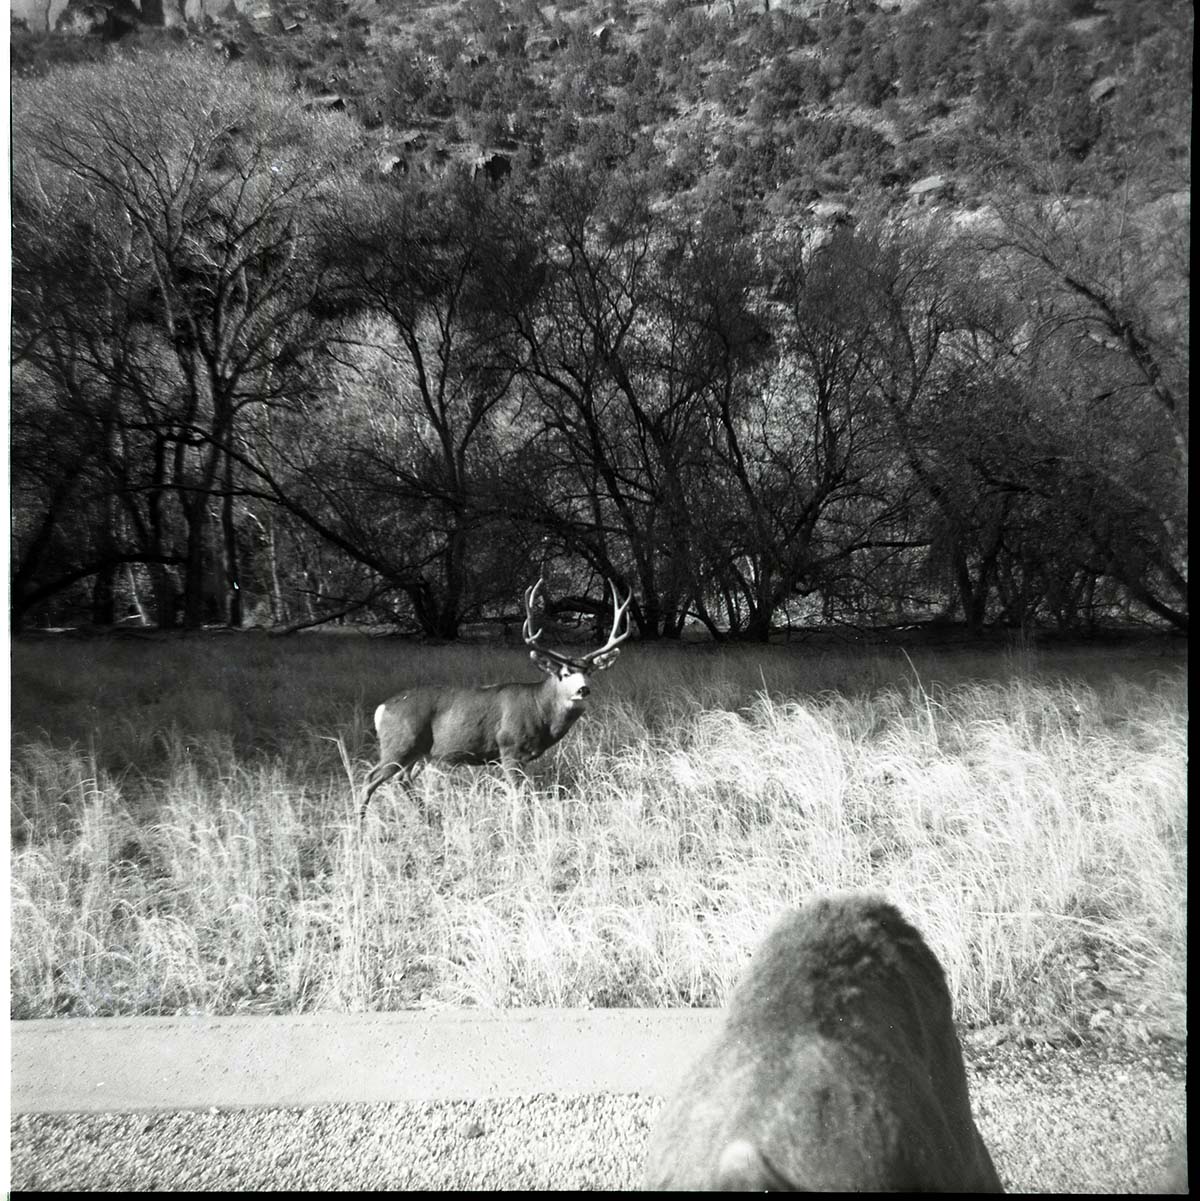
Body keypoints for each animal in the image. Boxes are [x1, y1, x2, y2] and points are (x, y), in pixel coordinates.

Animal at [359, 578, 632, 822]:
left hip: (418, 751)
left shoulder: (524, 757)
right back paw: (361, 825)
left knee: (402, 779)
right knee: (370, 779)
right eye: (564, 674)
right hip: (399, 744)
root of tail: (382, 709)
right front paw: (519, 827)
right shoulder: (509, 748)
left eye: (590, 672)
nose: (583, 690)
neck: (541, 709)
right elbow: (518, 796)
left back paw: (430, 818)